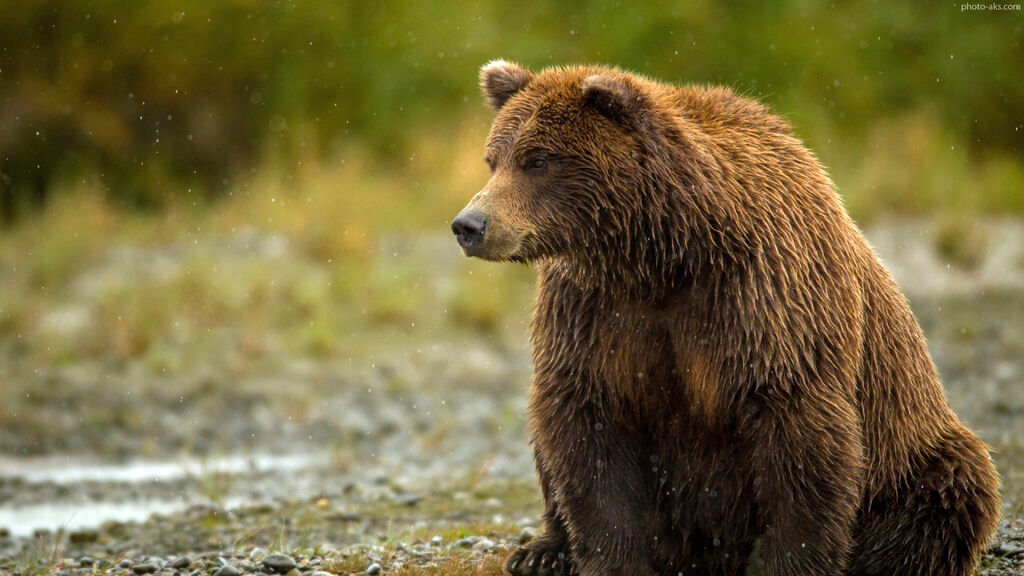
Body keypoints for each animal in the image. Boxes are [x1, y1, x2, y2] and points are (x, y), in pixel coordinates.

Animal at [450, 61, 999, 573]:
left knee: (943, 494)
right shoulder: (594, 312)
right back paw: (542, 551)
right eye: (493, 159)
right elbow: (588, 428)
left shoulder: (767, 302)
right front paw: (610, 558)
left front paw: (787, 562)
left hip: (912, 453)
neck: (663, 256)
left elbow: (800, 443)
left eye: (537, 160)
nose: (470, 224)